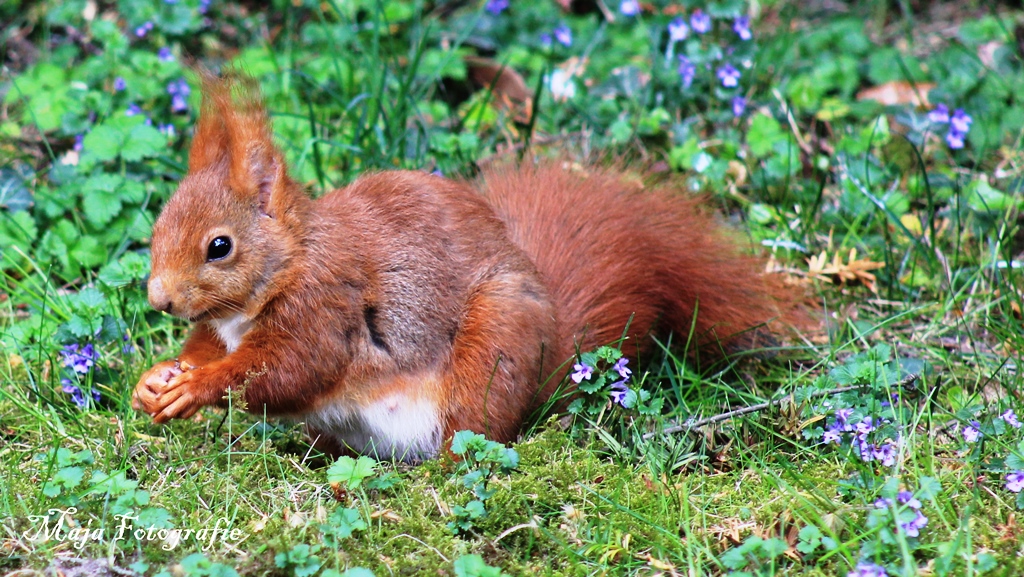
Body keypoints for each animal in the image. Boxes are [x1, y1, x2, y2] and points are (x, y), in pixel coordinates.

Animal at [130, 71, 798, 461]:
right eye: (157, 228)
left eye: (220, 246)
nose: (159, 299)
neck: (285, 266)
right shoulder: (221, 326)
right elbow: (209, 349)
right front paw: (157, 378)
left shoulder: (325, 308)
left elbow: (288, 370)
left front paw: (194, 388)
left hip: (489, 356)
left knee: (468, 443)